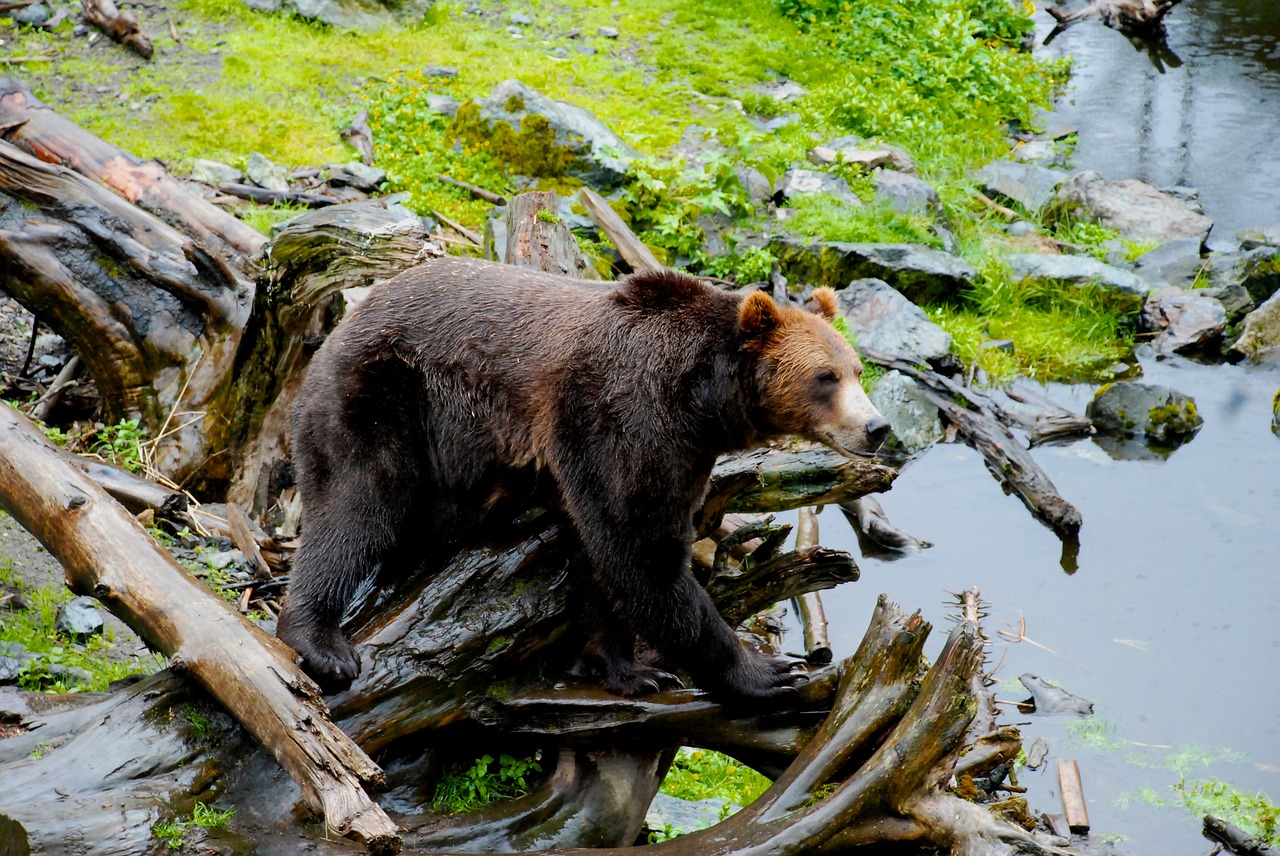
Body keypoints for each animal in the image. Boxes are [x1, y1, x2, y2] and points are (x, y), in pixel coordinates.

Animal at [275, 257, 885, 706]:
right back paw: (320, 639)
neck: (700, 400)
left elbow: (604, 554)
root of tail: (344, 321)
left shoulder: (675, 453)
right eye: (825, 377)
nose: (877, 427)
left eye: (858, 371)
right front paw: (765, 670)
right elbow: (642, 552)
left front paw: (625, 667)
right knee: (355, 503)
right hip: (385, 394)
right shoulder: (623, 412)